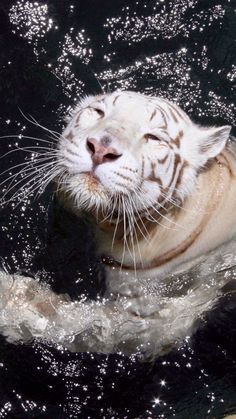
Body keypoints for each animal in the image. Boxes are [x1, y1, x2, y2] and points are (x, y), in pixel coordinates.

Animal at [0, 90, 236, 360]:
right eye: (98, 112)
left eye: (153, 137)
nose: (101, 149)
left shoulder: (160, 321)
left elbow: (74, 321)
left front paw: (9, 297)